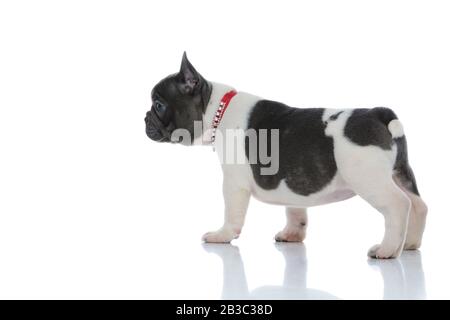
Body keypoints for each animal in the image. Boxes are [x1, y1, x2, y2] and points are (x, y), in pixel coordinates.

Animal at [146, 52, 428, 258]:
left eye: (158, 105)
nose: (145, 117)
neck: (217, 110)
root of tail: (378, 113)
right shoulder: (293, 180)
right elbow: (295, 210)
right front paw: (293, 234)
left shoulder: (234, 184)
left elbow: (232, 212)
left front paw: (222, 235)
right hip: (401, 172)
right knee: (418, 204)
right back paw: (410, 244)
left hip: (368, 179)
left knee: (398, 205)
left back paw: (387, 249)